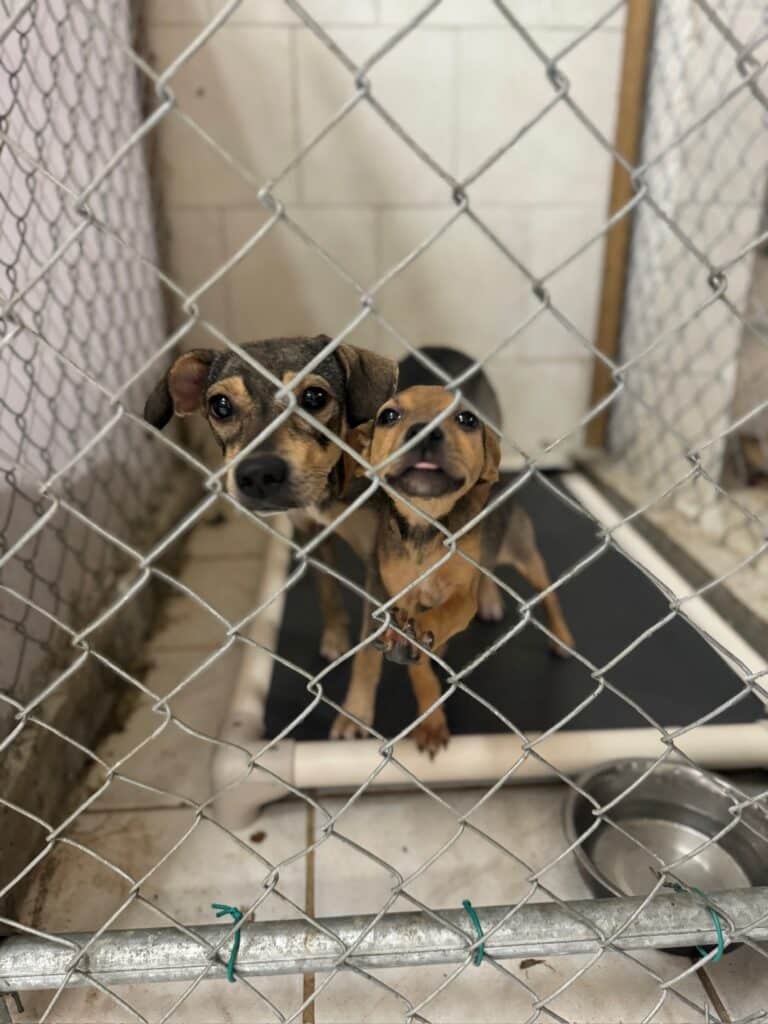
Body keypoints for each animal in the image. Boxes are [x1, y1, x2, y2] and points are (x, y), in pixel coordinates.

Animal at [346, 385, 573, 753]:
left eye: (467, 419)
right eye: (388, 416)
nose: (425, 431)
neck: (426, 525)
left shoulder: (462, 597)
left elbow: (447, 611)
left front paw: (426, 628)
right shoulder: (402, 599)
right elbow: (420, 672)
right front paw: (431, 722)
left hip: (527, 556)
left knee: (549, 596)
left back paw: (562, 638)